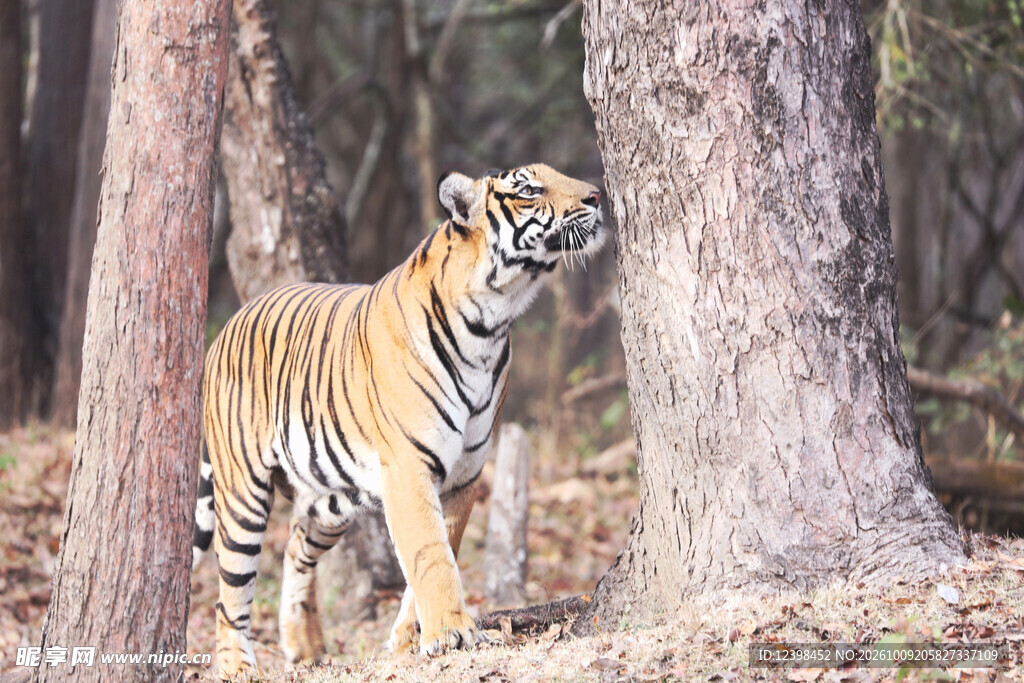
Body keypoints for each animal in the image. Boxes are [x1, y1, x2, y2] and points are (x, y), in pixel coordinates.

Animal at [191, 163, 606, 677]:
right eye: (530, 189)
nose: (597, 196)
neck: (493, 323)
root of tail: (228, 325)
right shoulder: (410, 466)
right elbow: (429, 552)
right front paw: (451, 633)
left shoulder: (464, 474)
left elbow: (442, 547)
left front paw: (412, 639)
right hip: (242, 491)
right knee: (230, 590)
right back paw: (238, 667)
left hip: (333, 500)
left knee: (294, 545)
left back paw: (303, 645)